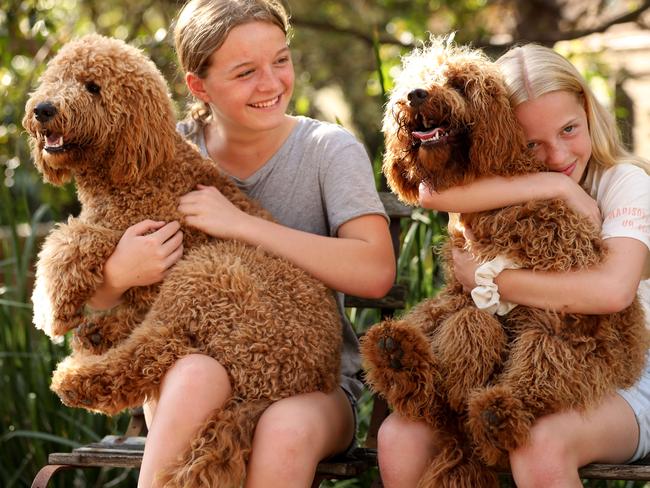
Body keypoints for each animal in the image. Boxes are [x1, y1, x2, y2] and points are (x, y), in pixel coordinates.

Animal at [22, 33, 340, 484]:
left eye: (93, 87)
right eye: (55, 78)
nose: (43, 108)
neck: (139, 169)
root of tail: (285, 386)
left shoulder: (135, 230)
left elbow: (71, 240)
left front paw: (52, 307)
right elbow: (88, 252)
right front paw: (92, 320)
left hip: (210, 271)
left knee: (154, 348)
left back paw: (76, 377)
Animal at [356, 39, 644, 488]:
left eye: (457, 83)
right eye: (414, 80)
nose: (416, 95)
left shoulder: (574, 306)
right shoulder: (459, 290)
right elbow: (468, 323)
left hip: (570, 349)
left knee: (532, 370)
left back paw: (496, 413)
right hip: (443, 313)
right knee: (443, 369)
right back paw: (398, 357)